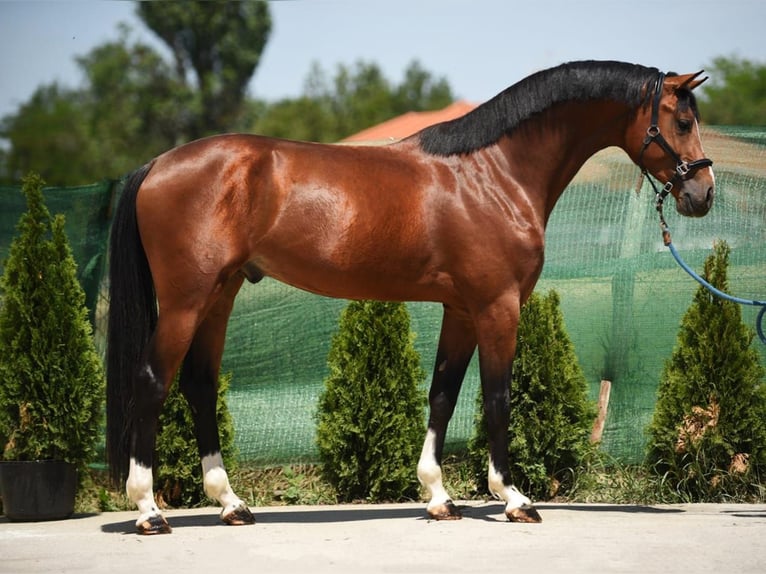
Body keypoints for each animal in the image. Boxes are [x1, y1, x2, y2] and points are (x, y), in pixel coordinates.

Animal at [105, 59, 716, 536]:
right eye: (682, 121)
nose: (703, 194)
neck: (493, 173)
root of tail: (156, 165)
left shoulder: (462, 309)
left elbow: (442, 395)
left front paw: (439, 497)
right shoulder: (498, 306)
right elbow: (497, 397)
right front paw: (514, 498)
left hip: (220, 294)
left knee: (199, 386)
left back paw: (231, 504)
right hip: (186, 301)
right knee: (152, 382)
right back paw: (148, 509)